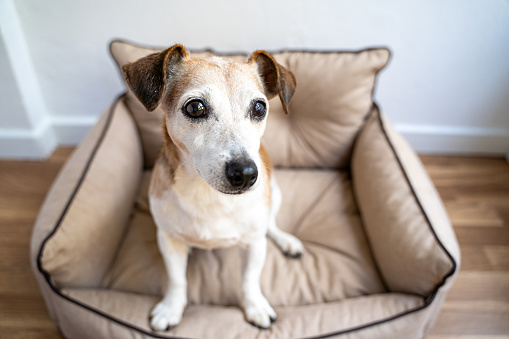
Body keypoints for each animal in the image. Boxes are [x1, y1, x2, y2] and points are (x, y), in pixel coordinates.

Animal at [122, 44, 306, 332]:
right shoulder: (168, 239)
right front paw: (171, 308)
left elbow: (249, 280)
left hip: (275, 195)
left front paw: (255, 306)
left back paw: (287, 241)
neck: (208, 193)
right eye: (195, 107)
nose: (246, 174)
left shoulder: (254, 243)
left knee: (271, 225)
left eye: (259, 108)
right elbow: (177, 279)